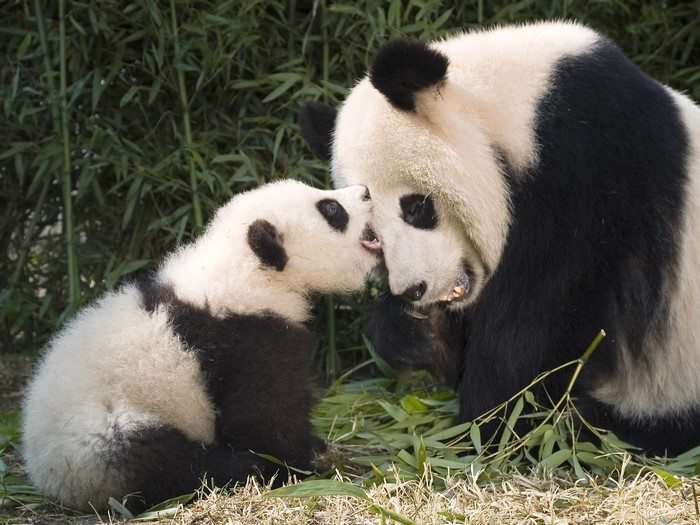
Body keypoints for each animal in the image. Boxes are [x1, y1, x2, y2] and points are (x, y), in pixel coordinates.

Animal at [22, 179, 382, 512]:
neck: (246, 271)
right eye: (331, 209)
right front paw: (296, 467)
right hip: (99, 438)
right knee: (163, 460)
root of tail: (49, 480)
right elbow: (262, 416)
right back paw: (241, 469)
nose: (366, 191)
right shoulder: (244, 339)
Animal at [299, 21, 700, 456]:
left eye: (416, 207)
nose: (413, 289)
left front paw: (485, 430)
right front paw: (415, 330)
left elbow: (530, 328)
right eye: (372, 234)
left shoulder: (586, 187)